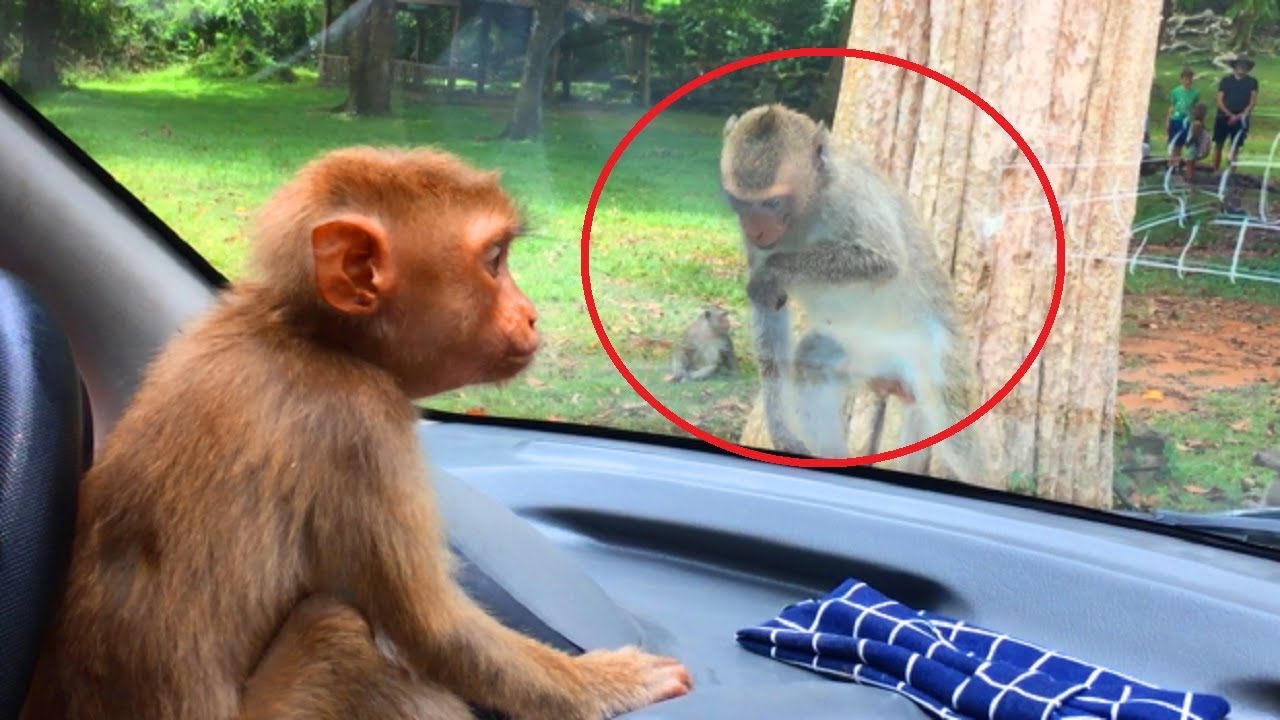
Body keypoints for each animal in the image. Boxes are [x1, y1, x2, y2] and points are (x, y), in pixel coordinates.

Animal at [22, 146, 692, 720]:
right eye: (495, 261)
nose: (530, 315)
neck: (312, 336)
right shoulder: (364, 424)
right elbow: (436, 632)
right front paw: (609, 682)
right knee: (338, 632)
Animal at [719, 103, 986, 481]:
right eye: (740, 202)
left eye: (772, 203)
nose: (755, 229)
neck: (807, 208)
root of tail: (900, 372)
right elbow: (770, 315)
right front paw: (778, 420)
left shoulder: (850, 198)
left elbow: (884, 261)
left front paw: (776, 271)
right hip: (865, 357)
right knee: (811, 365)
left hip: (938, 356)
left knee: (957, 425)